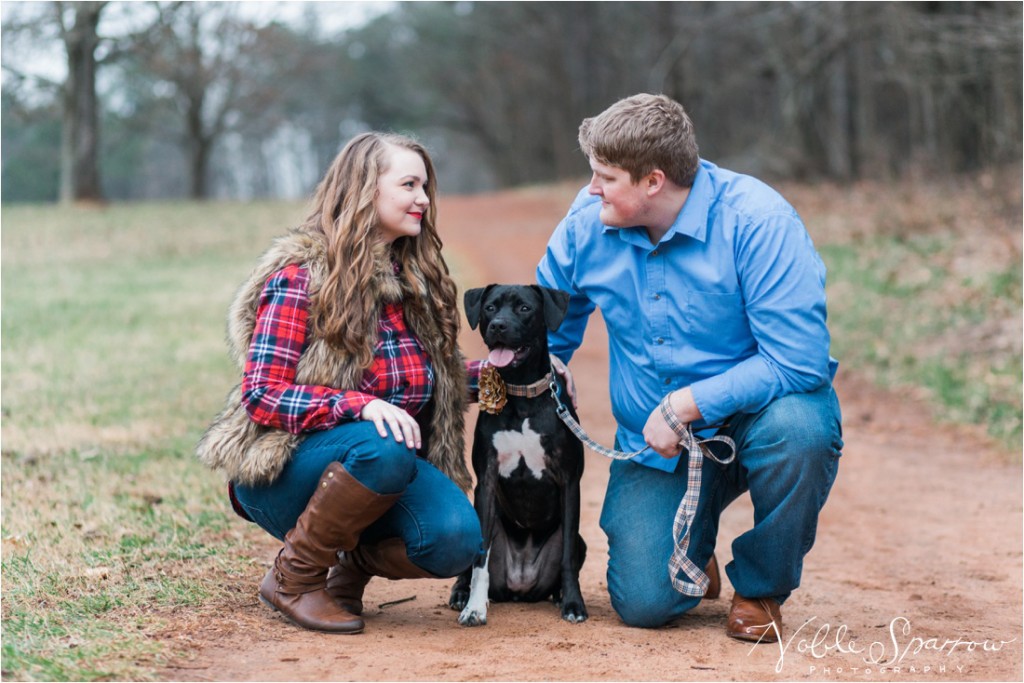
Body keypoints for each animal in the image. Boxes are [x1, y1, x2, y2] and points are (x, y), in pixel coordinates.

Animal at [450, 282, 589, 626]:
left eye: (525, 308)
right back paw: (460, 594)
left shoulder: (570, 483)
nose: (499, 325)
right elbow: (480, 560)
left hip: (579, 540)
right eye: (490, 307)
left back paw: (559, 595)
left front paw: (573, 604)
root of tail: (520, 585)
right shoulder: (485, 481)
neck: (522, 395)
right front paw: (474, 607)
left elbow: (567, 557)